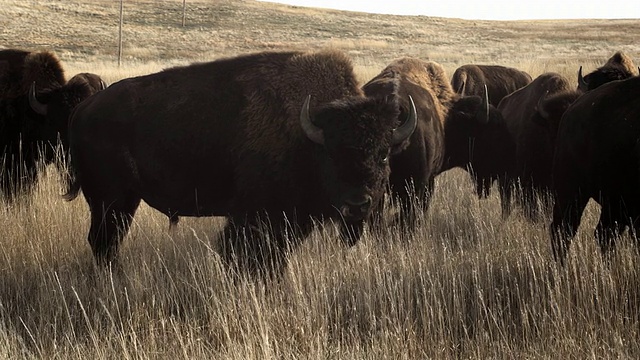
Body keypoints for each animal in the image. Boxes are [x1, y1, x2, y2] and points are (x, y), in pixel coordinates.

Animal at [63, 50, 416, 276]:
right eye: (332, 152)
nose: (358, 204)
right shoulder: (255, 218)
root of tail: (84, 109)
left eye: (384, 153)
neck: (306, 134)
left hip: (119, 203)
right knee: (103, 243)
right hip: (111, 201)